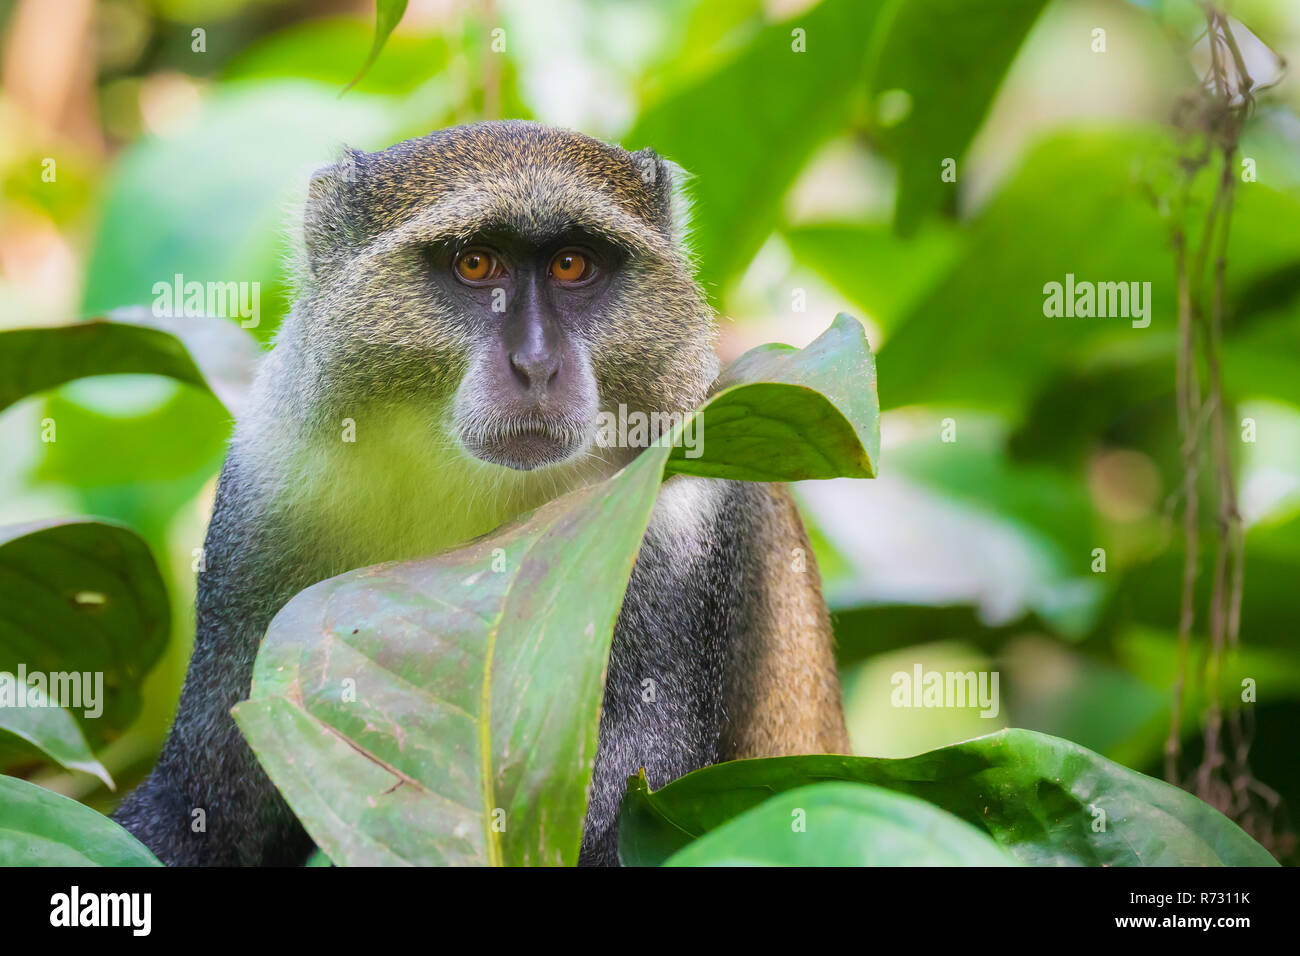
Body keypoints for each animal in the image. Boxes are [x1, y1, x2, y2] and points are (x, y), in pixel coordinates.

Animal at [114, 119, 852, 868]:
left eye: (572, 265)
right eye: (475, 264)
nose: (536, 363)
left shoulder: (676, 506)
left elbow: (625, 803)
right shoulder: (270, 478)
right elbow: (206, 805)